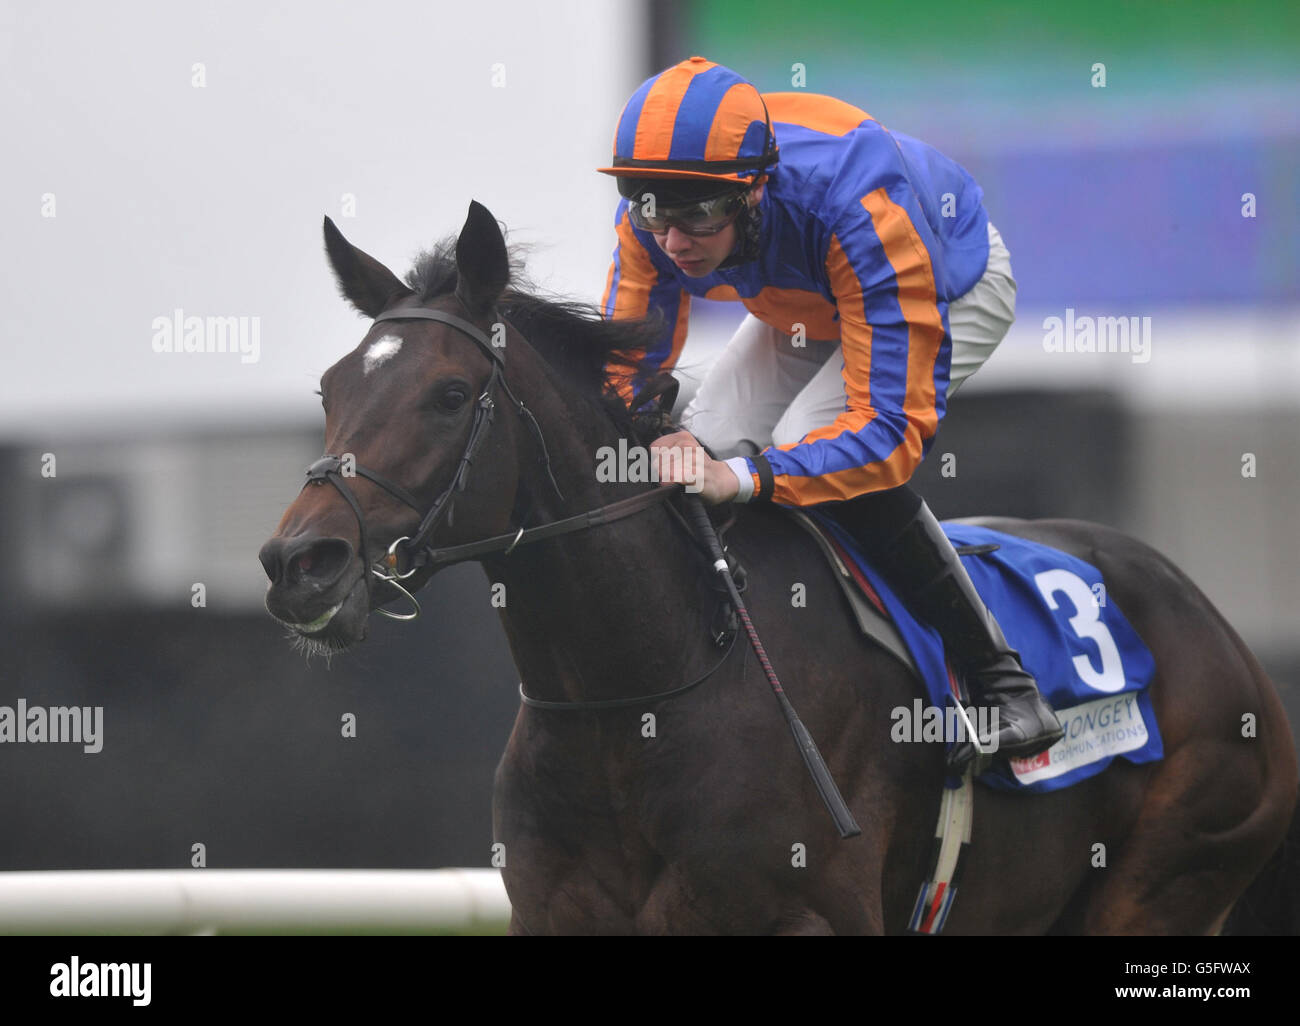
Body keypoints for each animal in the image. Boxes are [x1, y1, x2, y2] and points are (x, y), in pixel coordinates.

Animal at [258, 201, 1294, 936]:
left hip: (1172, 874)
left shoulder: (807, 917)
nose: (299, 562)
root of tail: (1216, 627)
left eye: (448, 393)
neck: (638, 696)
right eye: (331, 388)